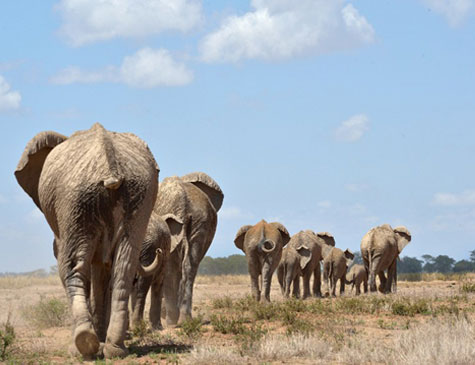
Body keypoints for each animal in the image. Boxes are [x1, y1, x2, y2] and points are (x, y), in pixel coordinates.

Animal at [13, 123, 161, 356]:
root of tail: (110, 167)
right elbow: (103, 269)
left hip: (75, 200)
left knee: (72, 266)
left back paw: (83, 346)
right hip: (138, 198)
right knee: (124, 266)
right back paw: (115, 350)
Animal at [155, 172, 224, 326]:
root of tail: (183, 203)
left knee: (171, 266)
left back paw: (171, 321)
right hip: (201, 222)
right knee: (190, 266)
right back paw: (185, 320)